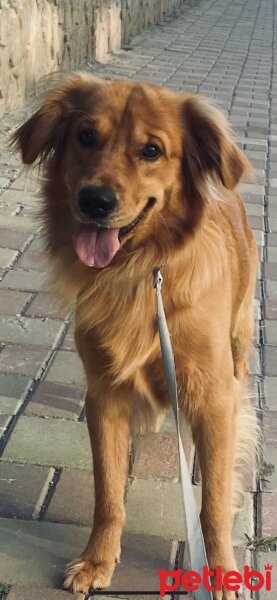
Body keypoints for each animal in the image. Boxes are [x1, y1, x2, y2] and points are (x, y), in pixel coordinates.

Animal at [12, 75, 258, 600]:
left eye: (151, 150)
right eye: (85, 136)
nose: (95, 201)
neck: (140, 273)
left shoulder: (214, 396)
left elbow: (212, 502)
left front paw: (220, 571)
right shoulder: (103, 396)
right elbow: (108, 492)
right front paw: (97, 560)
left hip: (240, 335)